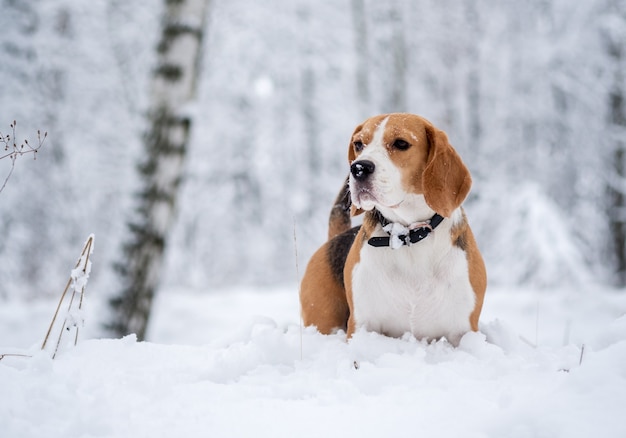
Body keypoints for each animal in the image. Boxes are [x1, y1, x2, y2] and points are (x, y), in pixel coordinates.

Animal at [300, 113, 486, 346]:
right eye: (359, 144)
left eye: (401, 143)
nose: (358, 169)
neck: (408, 234)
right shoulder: (363, 324)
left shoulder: (462, 331)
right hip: (323, 318)